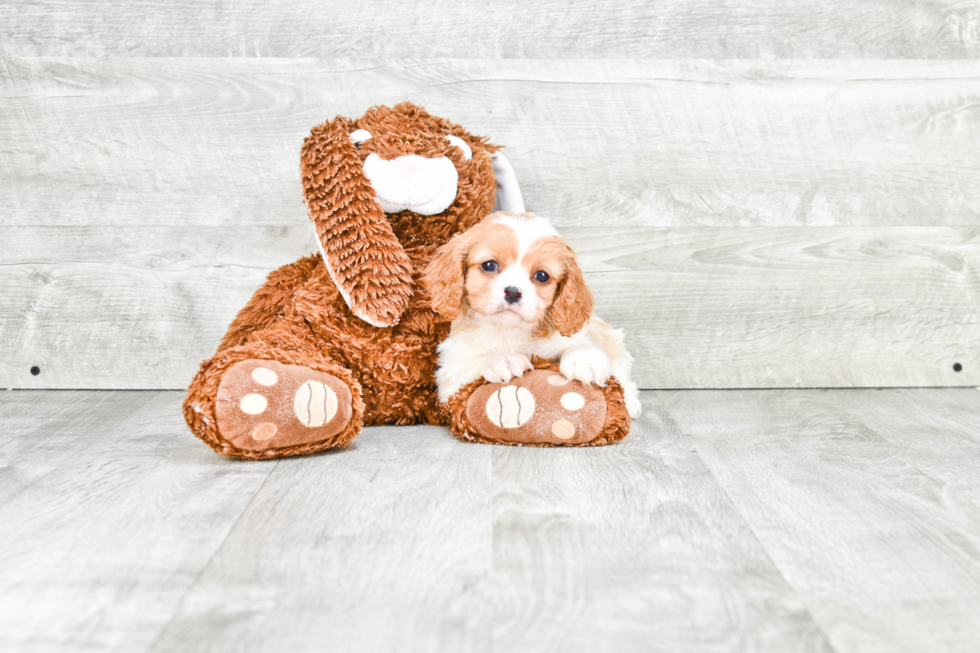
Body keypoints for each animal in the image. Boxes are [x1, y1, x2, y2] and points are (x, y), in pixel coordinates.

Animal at [424, 214, 640, 418]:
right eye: (489, 265)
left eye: (542, 275)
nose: (512, 292)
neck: (508, 330)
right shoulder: (450, 376)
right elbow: (469, 367)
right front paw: (503, 360)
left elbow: (581, 343)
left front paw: (584, 360)